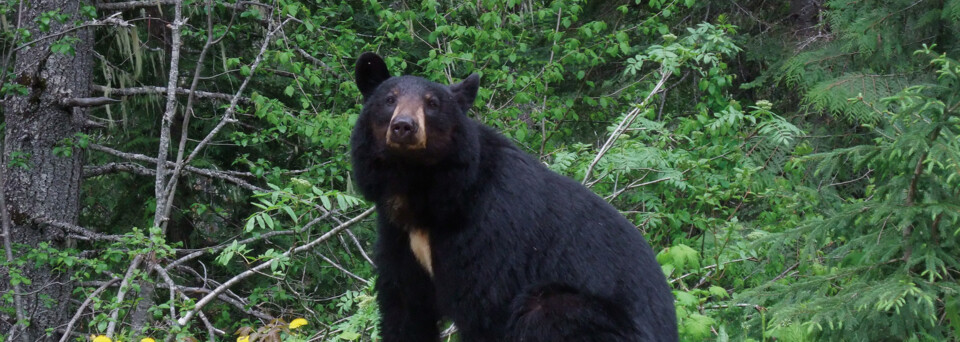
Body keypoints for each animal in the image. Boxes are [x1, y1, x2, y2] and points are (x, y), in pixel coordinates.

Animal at [350, 51, 676, 342]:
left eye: (432, 104)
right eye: (389, 99)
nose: (404, 126)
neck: (421, 189)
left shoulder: (489, 234)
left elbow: (485, 307)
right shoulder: (398, 237)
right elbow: (404, 308)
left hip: (578, 312)